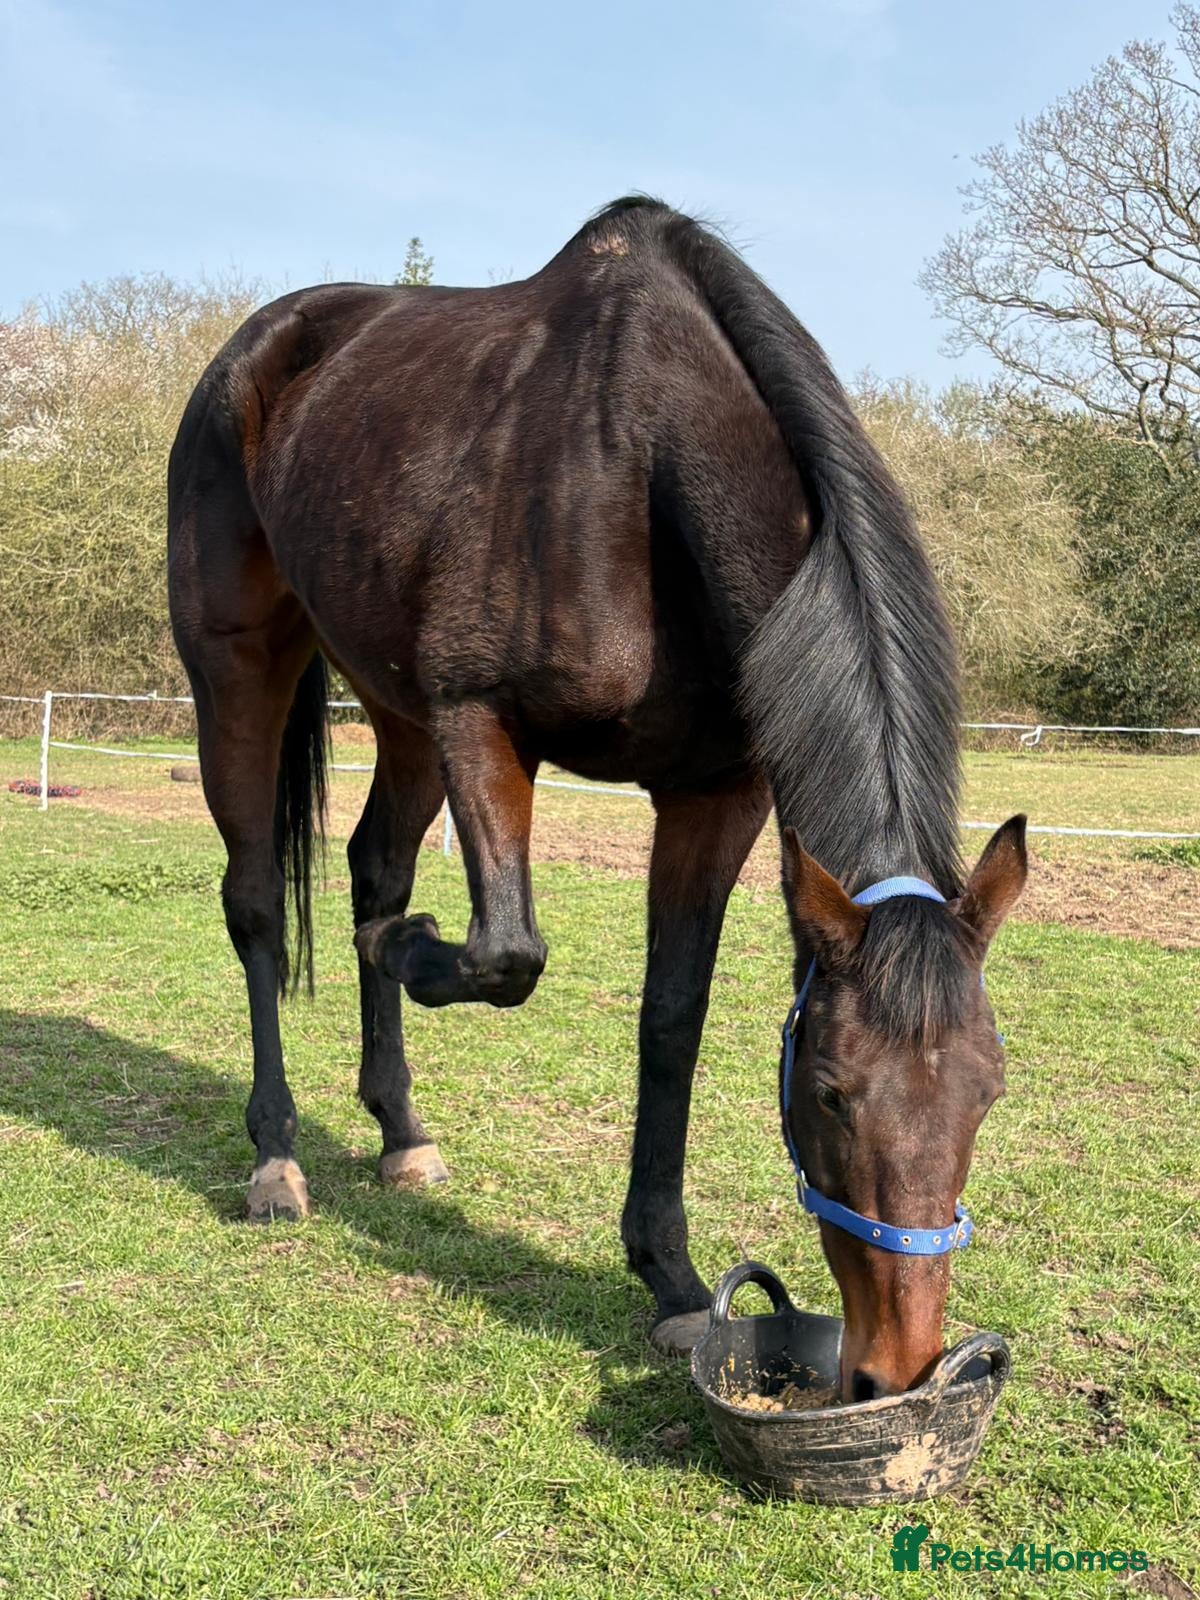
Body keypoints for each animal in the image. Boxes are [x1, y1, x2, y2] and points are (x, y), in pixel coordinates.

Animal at [167, 197, 1027, 1399]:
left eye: (987, 1091)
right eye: (830, 1091)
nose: (896, 1370)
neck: (637, 467)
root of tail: (259, 346)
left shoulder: (715, 793)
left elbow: (672, 1019)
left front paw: (670, 1279)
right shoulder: (480, 722)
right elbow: (505, 954)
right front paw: (412, 946)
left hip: (396, 709)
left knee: (372, 868)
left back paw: (401, 1131)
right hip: (243, 667)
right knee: (255, 905)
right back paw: (278, 1153)